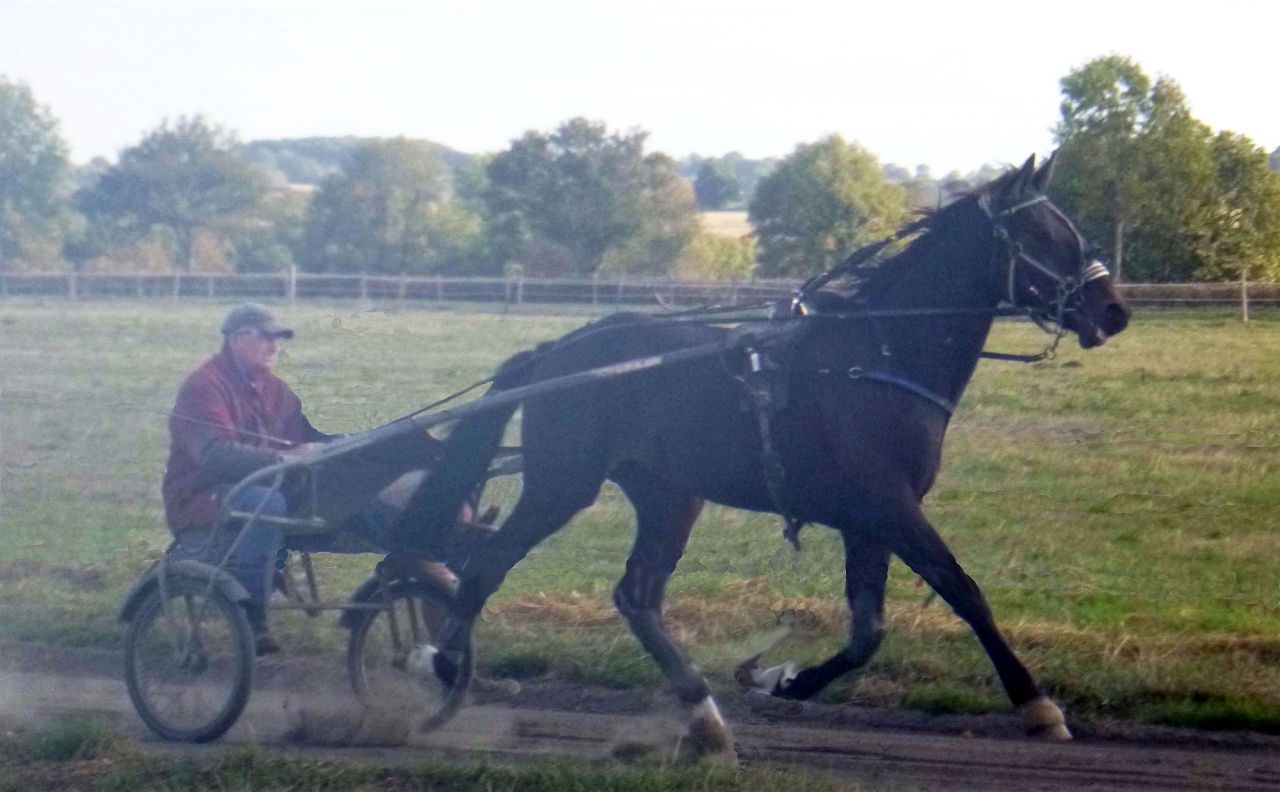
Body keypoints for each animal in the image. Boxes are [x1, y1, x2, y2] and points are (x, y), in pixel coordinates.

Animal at [398, 154, 1131, 759]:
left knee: (637, 595)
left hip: (670, 494)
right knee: (486, 569)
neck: (880, 357)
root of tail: (554, 353)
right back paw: (439, 667)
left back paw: (704, 716)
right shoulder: (888, 506)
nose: (1114, 309)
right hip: (562, 482)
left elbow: (867, 632)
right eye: (1046, 237)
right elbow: (963, 591)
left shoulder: (868, 521)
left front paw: (781, 680)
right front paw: (1037, 705)